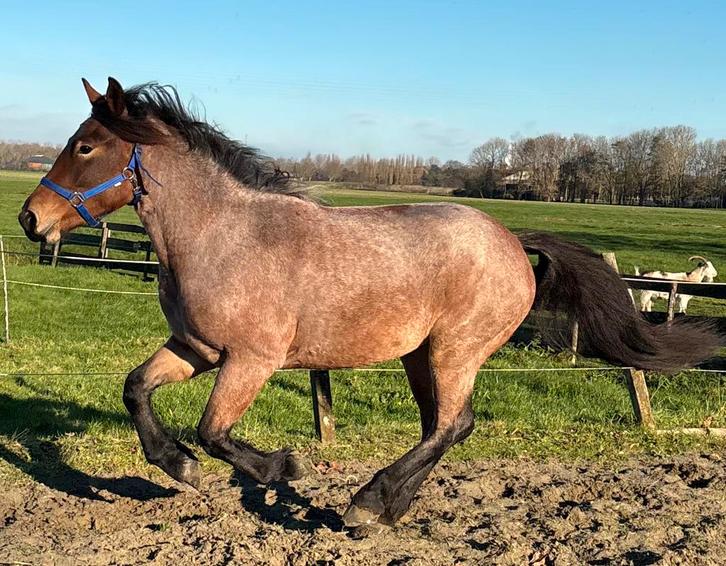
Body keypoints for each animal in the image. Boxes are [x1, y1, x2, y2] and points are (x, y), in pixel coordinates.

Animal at [18, 77, 721, 532]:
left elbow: (213, 431)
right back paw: (386, 507)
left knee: (451, 426)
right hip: (420, 356)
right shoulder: (196, 350)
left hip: (456, 349)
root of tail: (512, 242)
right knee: (445, 426)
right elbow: (136, 389)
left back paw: (366, 502)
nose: (30, 219)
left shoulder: (251, 360)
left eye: (85, 146)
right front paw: (178, 467)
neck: (220, 236)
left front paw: (281, 465)